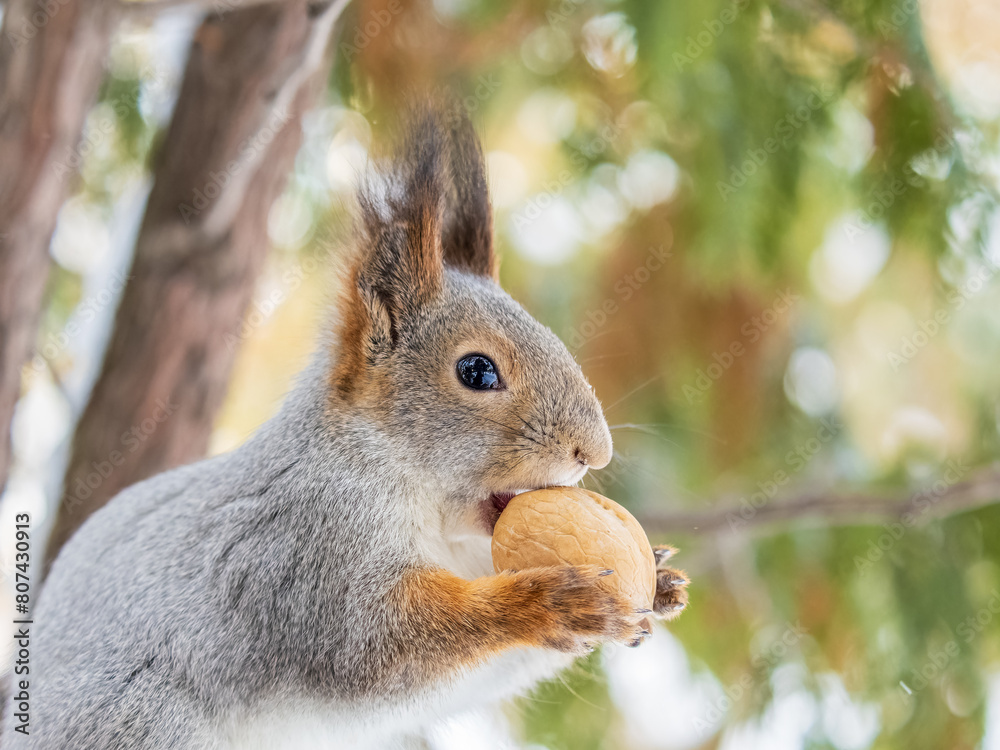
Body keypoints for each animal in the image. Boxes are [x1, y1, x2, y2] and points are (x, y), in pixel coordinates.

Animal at [8, 104, 688, 749]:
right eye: (476, 370)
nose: (594, 452)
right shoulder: (300, 553)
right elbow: (375, 645)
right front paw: (550, 604)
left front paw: (658, 580)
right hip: (141, 717)